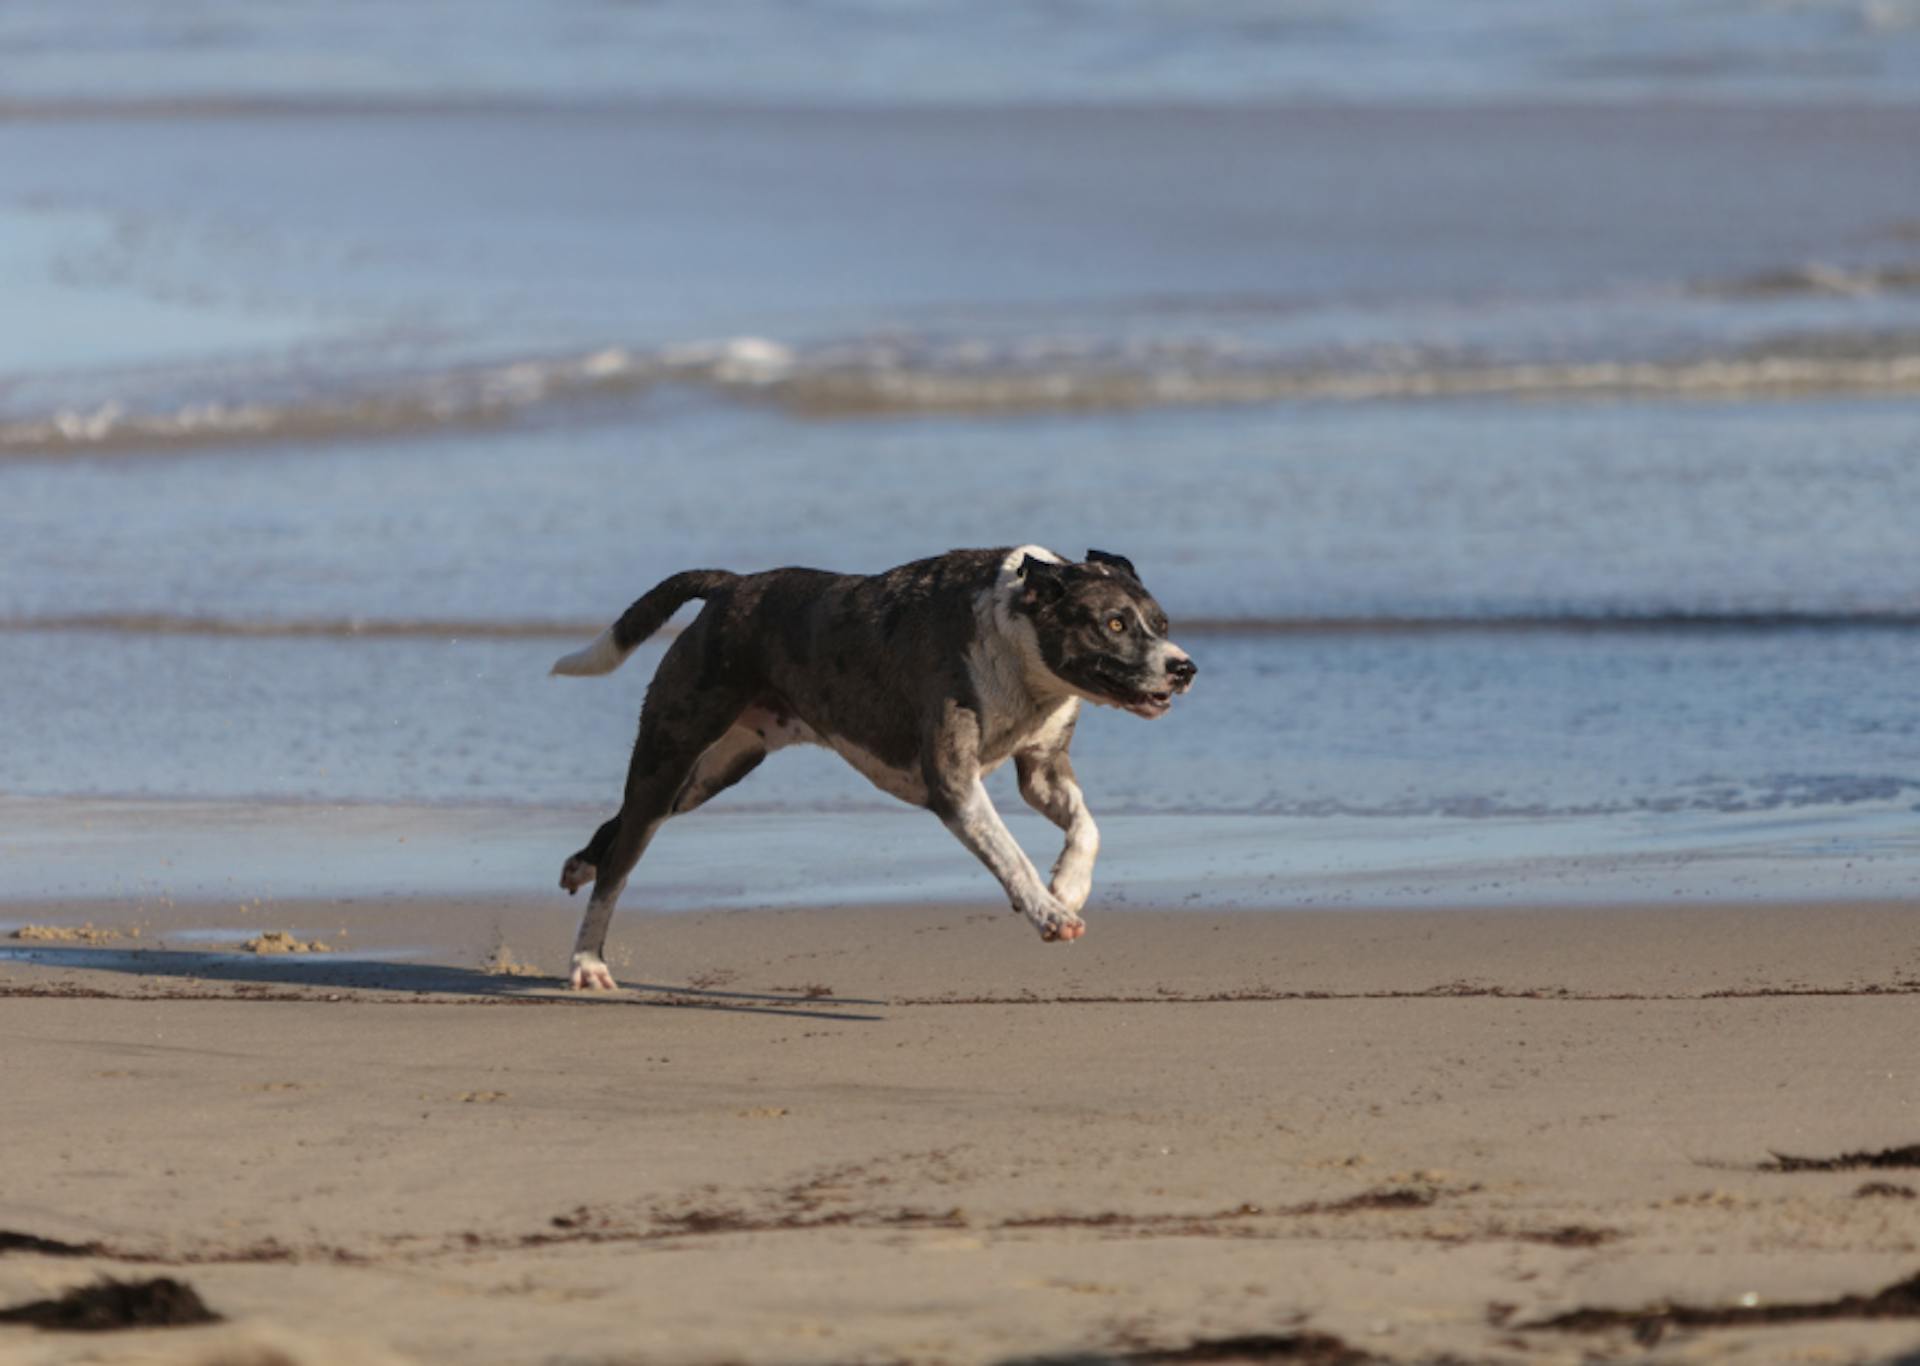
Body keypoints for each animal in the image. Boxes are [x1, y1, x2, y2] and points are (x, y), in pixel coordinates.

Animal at [549, 549, 1190, 991]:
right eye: (1113, 624)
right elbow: (1011, 854)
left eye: (1161, 624)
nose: (1184, 667)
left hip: (715, 770)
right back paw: (587, 961)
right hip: (672, 751)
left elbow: (1087, 826)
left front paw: (1070, 885)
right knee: (620, 866)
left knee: (618, 828)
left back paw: (581, 865)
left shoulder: (1043, 769)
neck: (1017, 643)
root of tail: (732, 586)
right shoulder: (954, 784)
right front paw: (1048, 912)